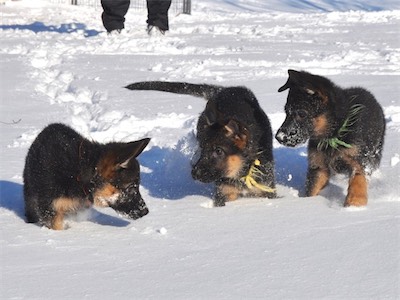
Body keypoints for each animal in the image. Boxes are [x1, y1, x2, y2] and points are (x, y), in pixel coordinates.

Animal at [126, 81, 276, 206]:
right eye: (203, 149)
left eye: (218, 151)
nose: (194, 174)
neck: (243, 172)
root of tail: (224, 89)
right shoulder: (223, 194)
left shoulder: (267, 190)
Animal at [276, 70, 384, 206]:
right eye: (286, 112)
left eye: (302, 114)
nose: (279, 137)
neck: (334, 135)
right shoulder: (319, 167)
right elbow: (313, 188)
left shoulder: (359, 158)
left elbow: (358, 177)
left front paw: (355, 202)